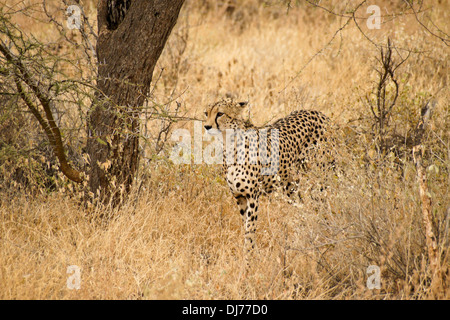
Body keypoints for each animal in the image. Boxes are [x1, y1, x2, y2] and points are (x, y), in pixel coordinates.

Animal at [204, 99, 334, 264]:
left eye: (220, 113)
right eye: (206, 113)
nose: (207, 126)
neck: (230, 144)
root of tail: (317, 112)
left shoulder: (253, 196)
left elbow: (250, 229)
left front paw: (248, 259)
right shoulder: (239, 197)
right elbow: (246, 226)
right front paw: (253, 254)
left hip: (319, 180)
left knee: (322, 207)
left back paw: (325, 235)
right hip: (290, 188)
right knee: (303, 209)